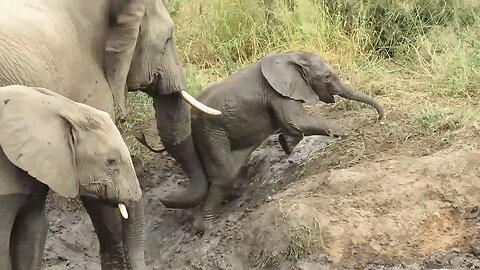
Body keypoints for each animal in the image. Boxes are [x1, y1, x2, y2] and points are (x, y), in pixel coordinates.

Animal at [156, 50, 384, 230]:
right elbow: (295, 120)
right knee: (224, 173)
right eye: (327, 77)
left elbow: (293, 125)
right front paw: (345, 131)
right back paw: (206, 226)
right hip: (211, 129)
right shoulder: (277, 93)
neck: (291, 57)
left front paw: (287, 145)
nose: (379, 118)